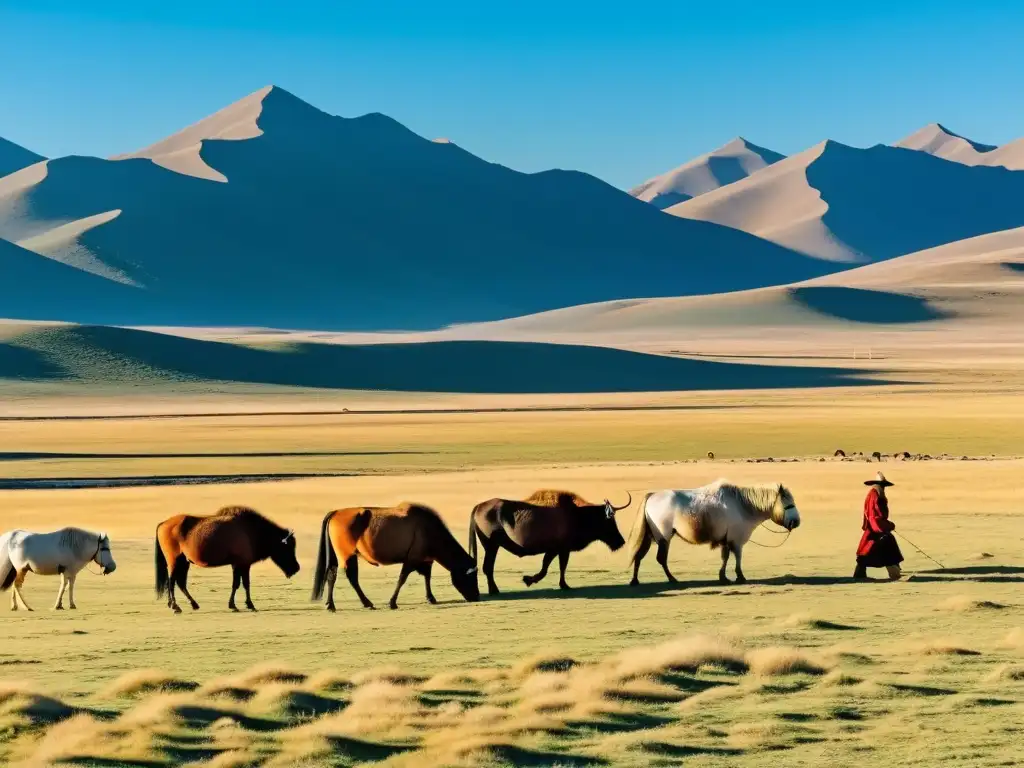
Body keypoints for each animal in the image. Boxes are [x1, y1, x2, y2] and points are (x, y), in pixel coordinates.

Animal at [151, 507, 299, 618]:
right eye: (287, 547)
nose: (296, 568)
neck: (251, 530)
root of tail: (163, 523)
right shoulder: (242, 564)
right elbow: (241, 584)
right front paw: (244, 605)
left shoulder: (238, 564)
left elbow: (239, 584)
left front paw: (239, 604)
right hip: (174, 561)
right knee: (171, 582)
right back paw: (175, 606)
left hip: (184, 562)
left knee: (180, 583)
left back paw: (192, 604)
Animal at [307, 505, 479, 614]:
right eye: (471, 577)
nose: (475, 597)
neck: (430, 529)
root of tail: (335, 512)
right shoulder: (411, 559)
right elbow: (402, 578)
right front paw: (392, 602)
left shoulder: (425, 560)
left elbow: (427, 577)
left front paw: (431, 598)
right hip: (345, 555)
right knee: (337, 575)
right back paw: (334, 605)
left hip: (346, 555)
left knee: (345, 576)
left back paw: (360, 603)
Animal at [468, 489, 626, 598]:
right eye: (609, 521)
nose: (621, 541)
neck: (578, 516)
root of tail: (477, 507)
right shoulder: (559, 549)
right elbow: (549, 568)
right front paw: (530, 580)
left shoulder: (560, 550)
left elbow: (555, 567)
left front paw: (561, 584)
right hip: (491, 545)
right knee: (487, 567)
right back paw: (494, 590)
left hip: (491, 546)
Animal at [622, 481, 798, 589]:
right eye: (788, 504)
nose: (796, 522)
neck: (743, 505)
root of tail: (651, 496)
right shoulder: (736, 539)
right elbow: (737, 557)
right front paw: (740, 576)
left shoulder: (726, 540)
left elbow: (725, 557)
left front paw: (723, 577)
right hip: (664, 537)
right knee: (661, 559)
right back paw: (672, 579)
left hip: (650, 536)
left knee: (639, 555)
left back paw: (635, 580)